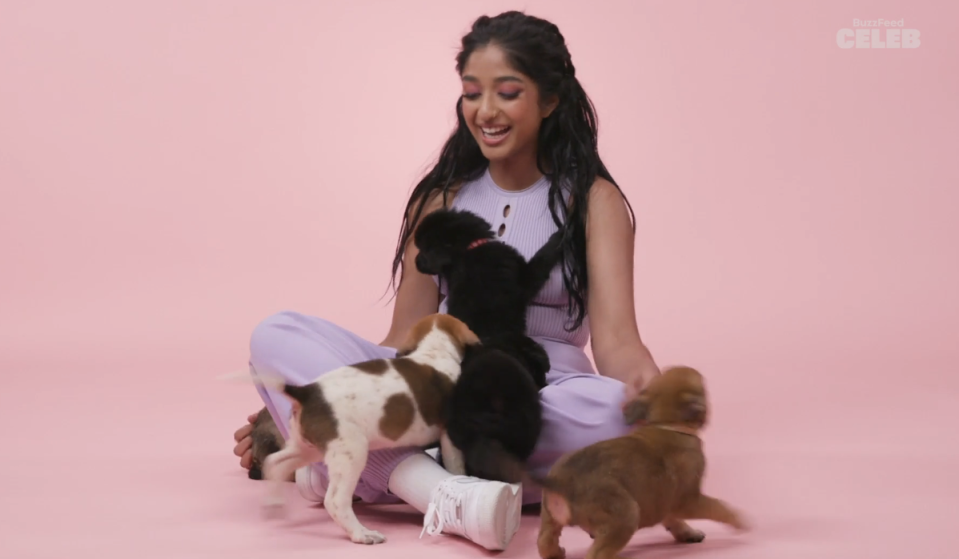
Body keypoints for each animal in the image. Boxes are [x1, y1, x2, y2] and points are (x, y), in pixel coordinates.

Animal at [240, 316, 480, 548]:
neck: (433, 351)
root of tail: (307, 392)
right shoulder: (449, 437)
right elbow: (455, 464)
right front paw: (460, 476)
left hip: (307, 448)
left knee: (274, 462)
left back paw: (273, 503)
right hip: (350, 453)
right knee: (335, 501)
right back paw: (362, 534)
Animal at [412, 208, 564, 484]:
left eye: (424, 249)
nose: (416, 262)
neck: (468, 250)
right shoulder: (524, 275)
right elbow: (542, 258)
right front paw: (560, 235)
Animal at [536, 368, 748, 559]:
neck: (667, 424)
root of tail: (562, 484)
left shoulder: (666, 501)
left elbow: (674, 520)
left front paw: (687, 533)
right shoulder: (688, 500)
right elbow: (718, 508)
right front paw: (739, 521)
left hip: (549, 518)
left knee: (545, 542)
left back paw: (556, 553)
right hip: (625, 517)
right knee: (596, 554)